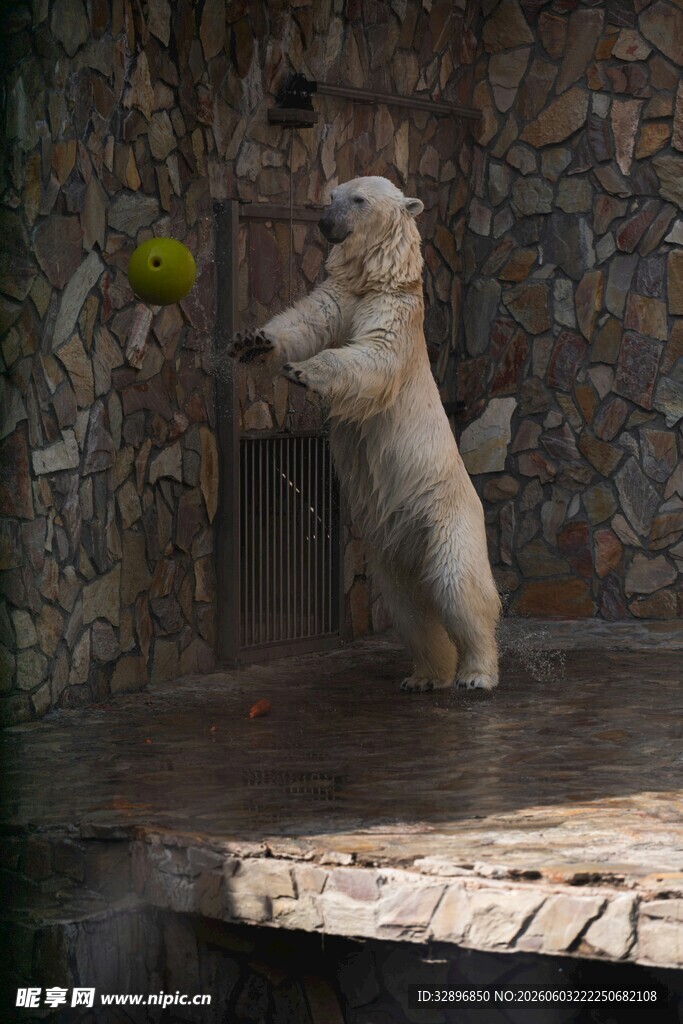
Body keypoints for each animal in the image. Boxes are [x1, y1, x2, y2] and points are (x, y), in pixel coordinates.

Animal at [228, 175, 500, 692]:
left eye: (358, 200)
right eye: (331, 195)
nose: (324, 222)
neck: (377, 279)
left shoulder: (391, 313)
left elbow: (373, 354)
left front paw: (304, 372)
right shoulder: (340, 297)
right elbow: (304, 321)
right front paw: (253, 342)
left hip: (444, 516)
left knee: (458, 586)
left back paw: (476, 672)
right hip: (393, 548)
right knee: (409, 606)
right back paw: (425, 675)